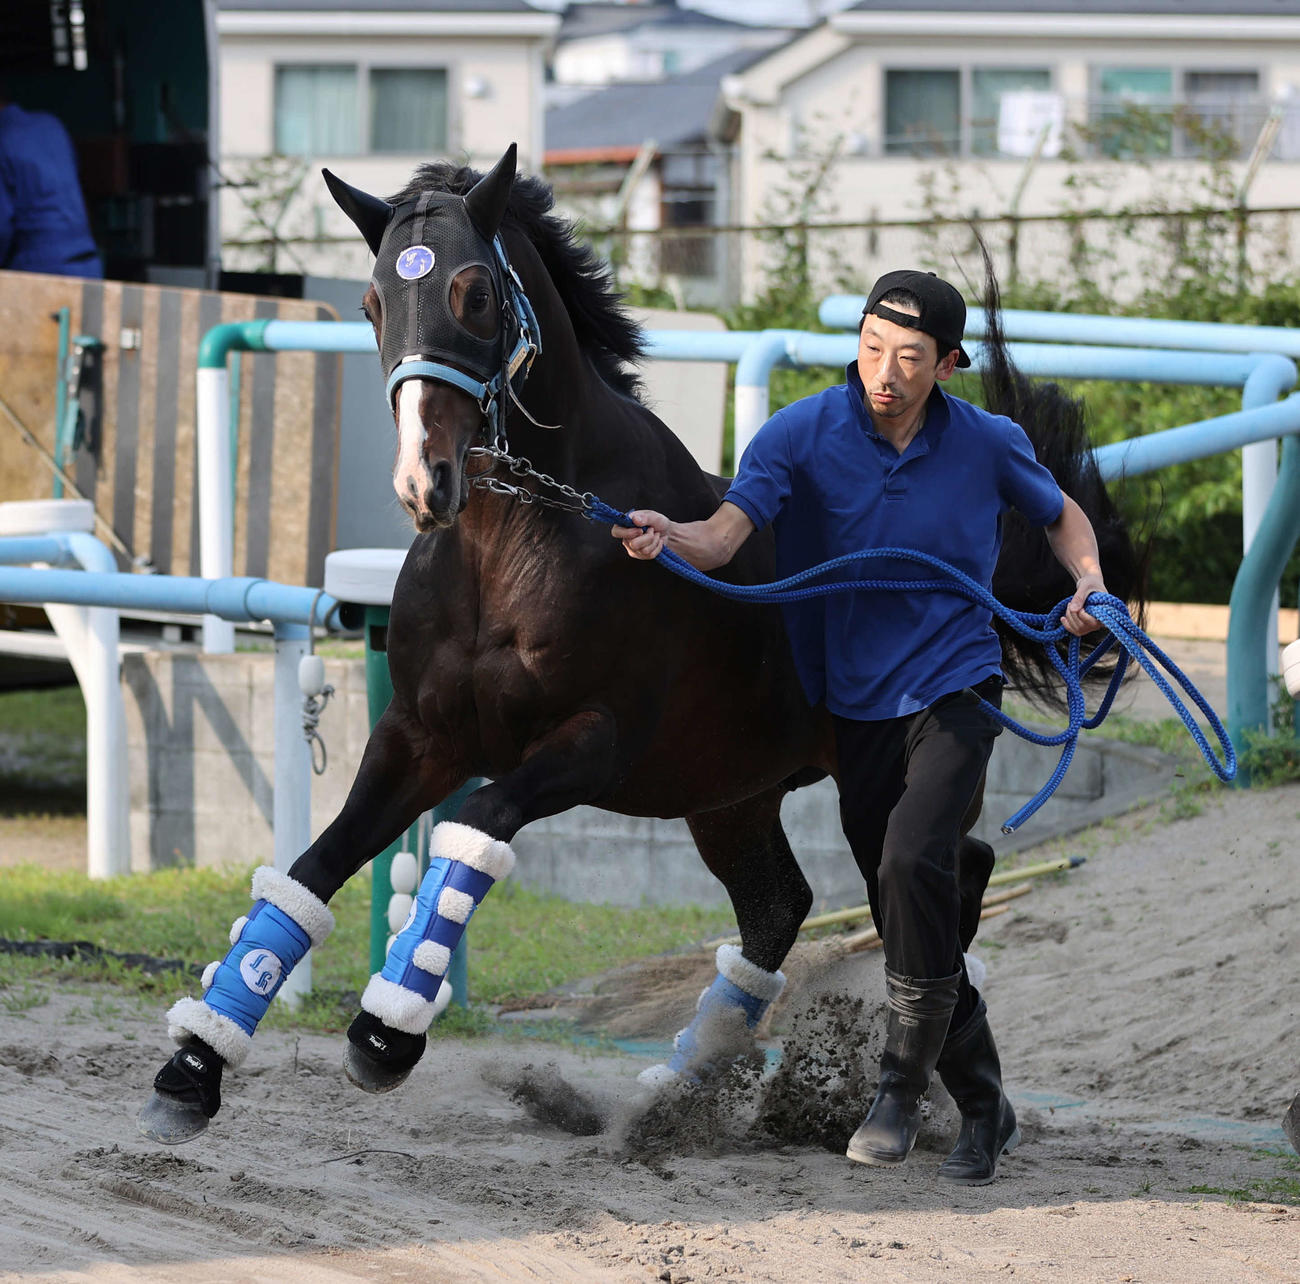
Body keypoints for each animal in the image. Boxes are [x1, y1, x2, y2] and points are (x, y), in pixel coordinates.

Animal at [139, 144, 1145, 1142]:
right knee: (784, 907)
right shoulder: (420, 739)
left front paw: (387, 1032)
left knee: (941, 882)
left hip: (871, 789)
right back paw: (681, 1087)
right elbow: (309, 873)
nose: (426, 482)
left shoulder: (590, 743)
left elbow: (477, 828)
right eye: (374, 302)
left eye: (474, 292)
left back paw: (941, 1095)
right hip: (729, 798)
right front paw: (193, 1065)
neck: (516, 545)